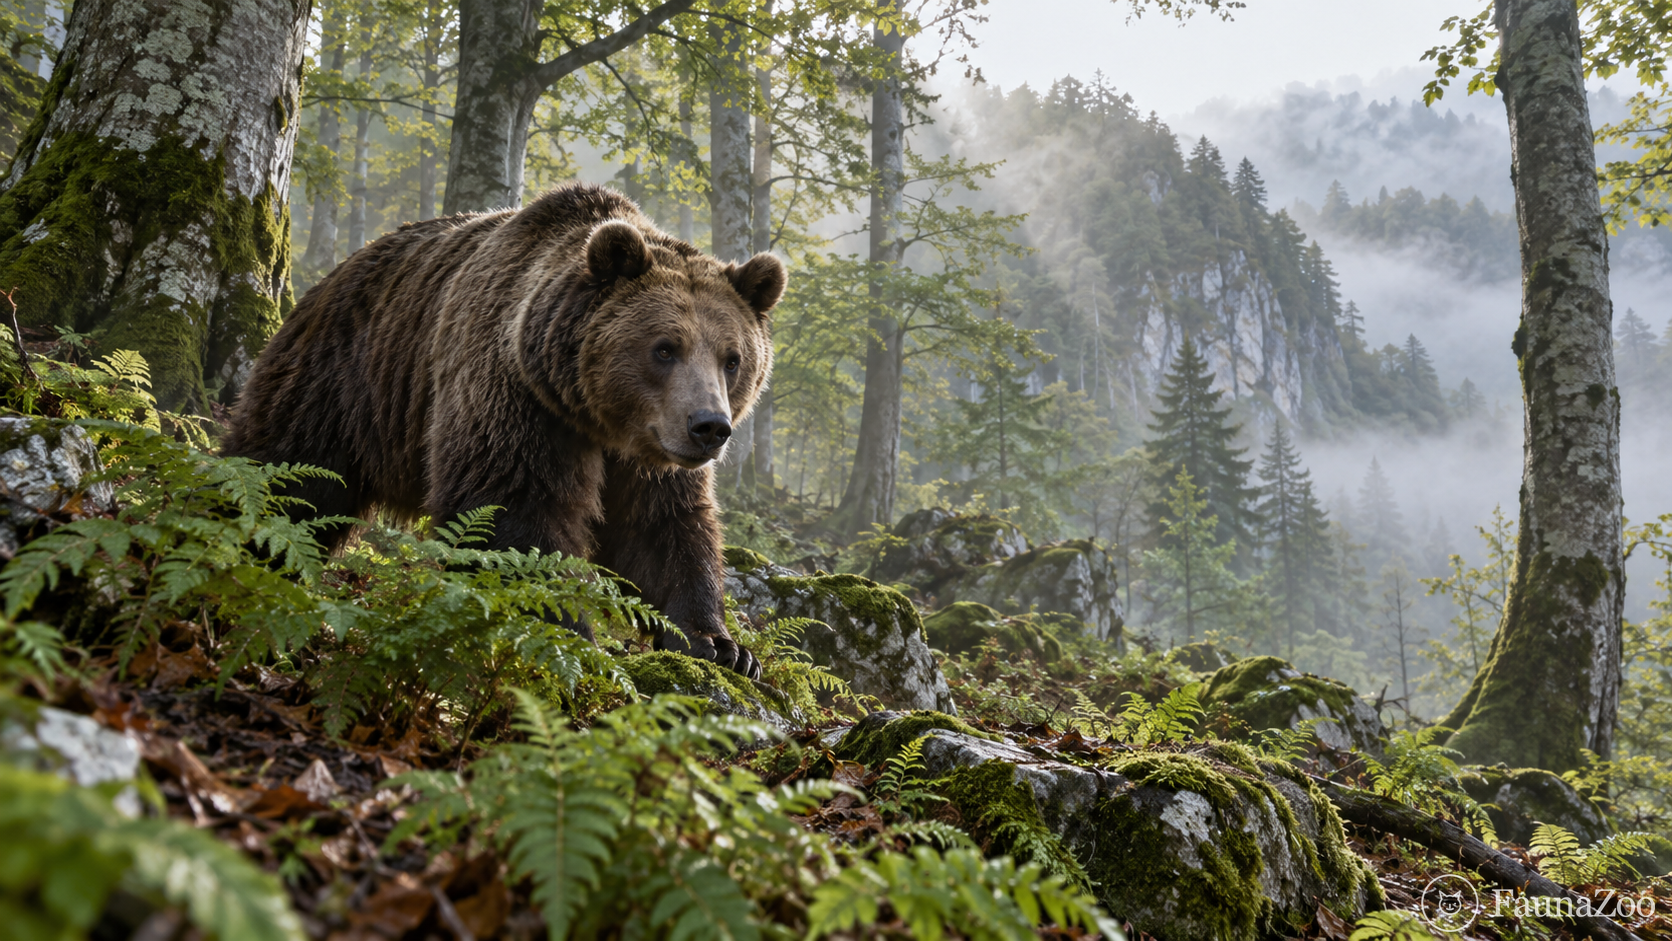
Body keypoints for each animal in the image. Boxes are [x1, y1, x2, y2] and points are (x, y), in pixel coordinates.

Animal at [223, 183, 783, 678]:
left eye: (732, 359)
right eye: (665, 348)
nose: (710, 427)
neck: (593, 415)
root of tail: (337, 270)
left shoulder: (648, 451)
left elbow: (662, 526)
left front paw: (721, 645)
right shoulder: (516, 396)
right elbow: (513, 508)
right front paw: (567, 628)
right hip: (343, 384)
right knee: (288, 476)